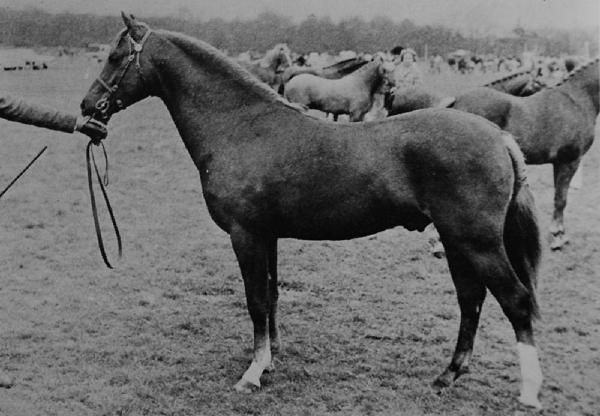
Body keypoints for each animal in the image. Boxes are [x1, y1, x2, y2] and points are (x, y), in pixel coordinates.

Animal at [79, 13, 544, 410]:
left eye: (116, 56)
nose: (88, 107)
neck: (241, 127)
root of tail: (500, 137)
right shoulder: (266, 236)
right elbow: (271, 296)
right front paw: (267, 360)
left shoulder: (245, 235)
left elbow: (255, 300)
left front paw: (252, 374)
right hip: (456, 241)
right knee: (471, 300)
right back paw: (447, 376)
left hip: (476, 242)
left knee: (516, 301)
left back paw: (528, 393)